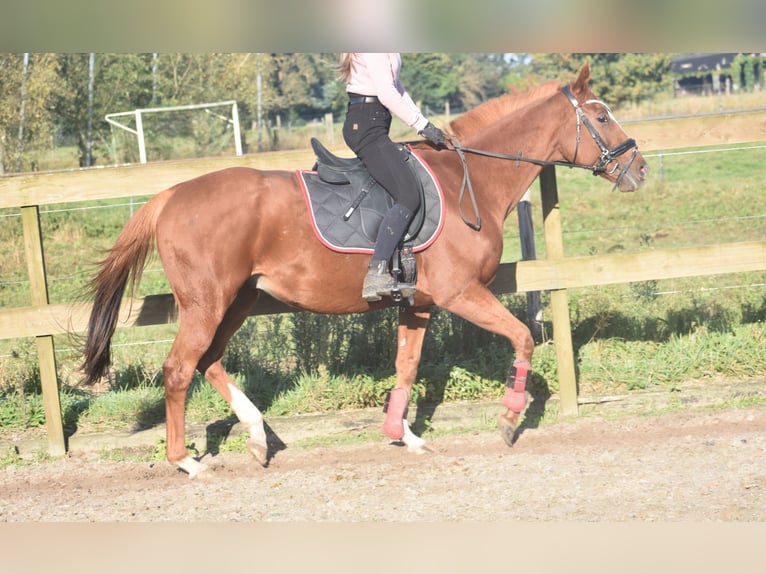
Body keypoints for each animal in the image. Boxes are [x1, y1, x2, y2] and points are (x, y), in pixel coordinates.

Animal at [82, 63, 648, 480]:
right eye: (601, 118)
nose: (638, 170)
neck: (469, 180)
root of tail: (171, 195)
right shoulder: (461, 293)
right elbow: (523, 338)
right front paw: (509, 418)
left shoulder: (418, 304)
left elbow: (407, 367)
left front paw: (404, 434)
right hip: (207, 301)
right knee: (179, 369)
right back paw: (186, 461)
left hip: (239, 299)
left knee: (209, 360)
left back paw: (259, 437)